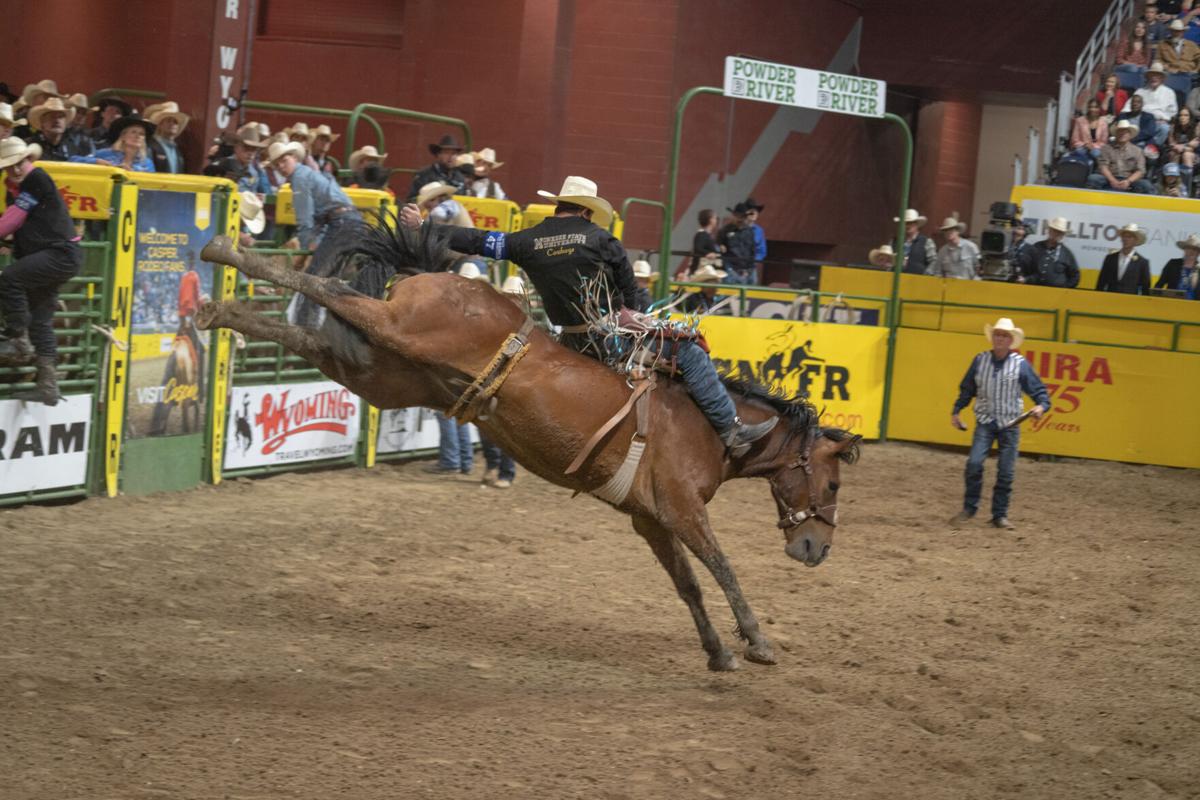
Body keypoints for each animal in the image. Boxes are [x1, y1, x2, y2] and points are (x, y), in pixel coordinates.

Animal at [196, 221, 859, 671]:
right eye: (831, 483)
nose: (817, 549)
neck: (704, 424)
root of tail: (437, 277)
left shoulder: (649, 518)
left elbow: (688, 584)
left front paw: (719, 653)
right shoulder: (680, 508)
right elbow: (722, 567)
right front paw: (759, 642)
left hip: (382, 370)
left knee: (317, 336)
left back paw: (218, 306)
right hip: (399, 332)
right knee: (329, 287)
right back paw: (220, 254)